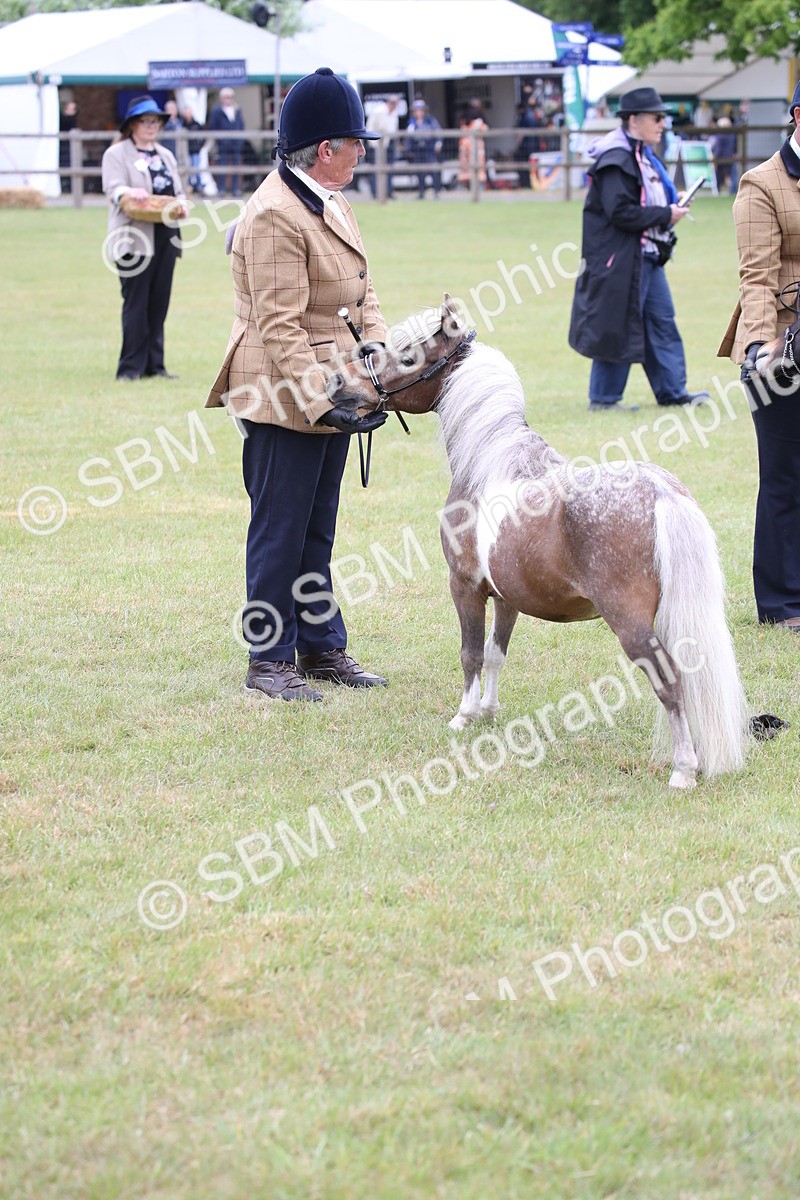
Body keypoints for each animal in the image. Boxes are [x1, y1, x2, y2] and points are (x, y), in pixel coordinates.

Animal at [328, 296, 749, 789]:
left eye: (408, 355)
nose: (339, 384)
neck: (490, 460)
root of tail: (661, 494)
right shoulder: (506, 595)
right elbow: (495, 654)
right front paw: (488, 712)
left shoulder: (465, 586)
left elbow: (470, 654)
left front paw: (464, 716)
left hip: (631, 624)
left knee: (670, 682)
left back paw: (683, 770)